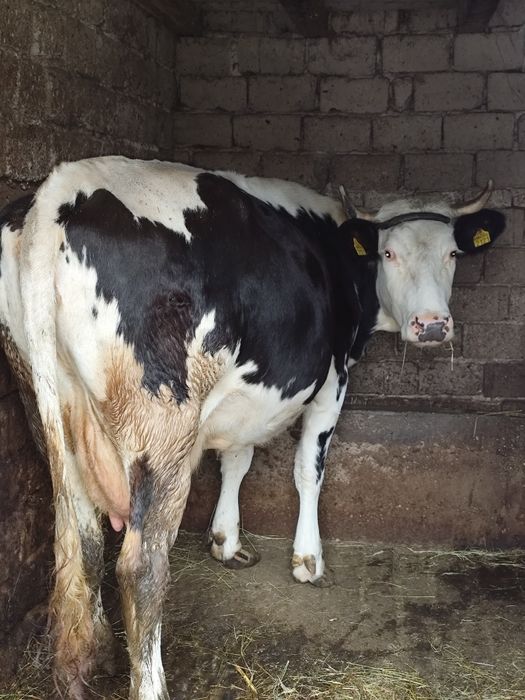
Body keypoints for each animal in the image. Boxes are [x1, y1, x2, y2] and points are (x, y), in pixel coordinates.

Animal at [0, 156, 505, 699]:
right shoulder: (334, 377)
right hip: (161, 424)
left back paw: (85, 669)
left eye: (453, 252)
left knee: (83, 541)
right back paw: (149, 683)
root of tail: (60, 188)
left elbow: (236, 461)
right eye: (388, 253)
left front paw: (227, 541)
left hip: (50, 408)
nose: (432, 325)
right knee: (141, 567)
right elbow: (309, 470)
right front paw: (308, 560)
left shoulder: (242, 398)